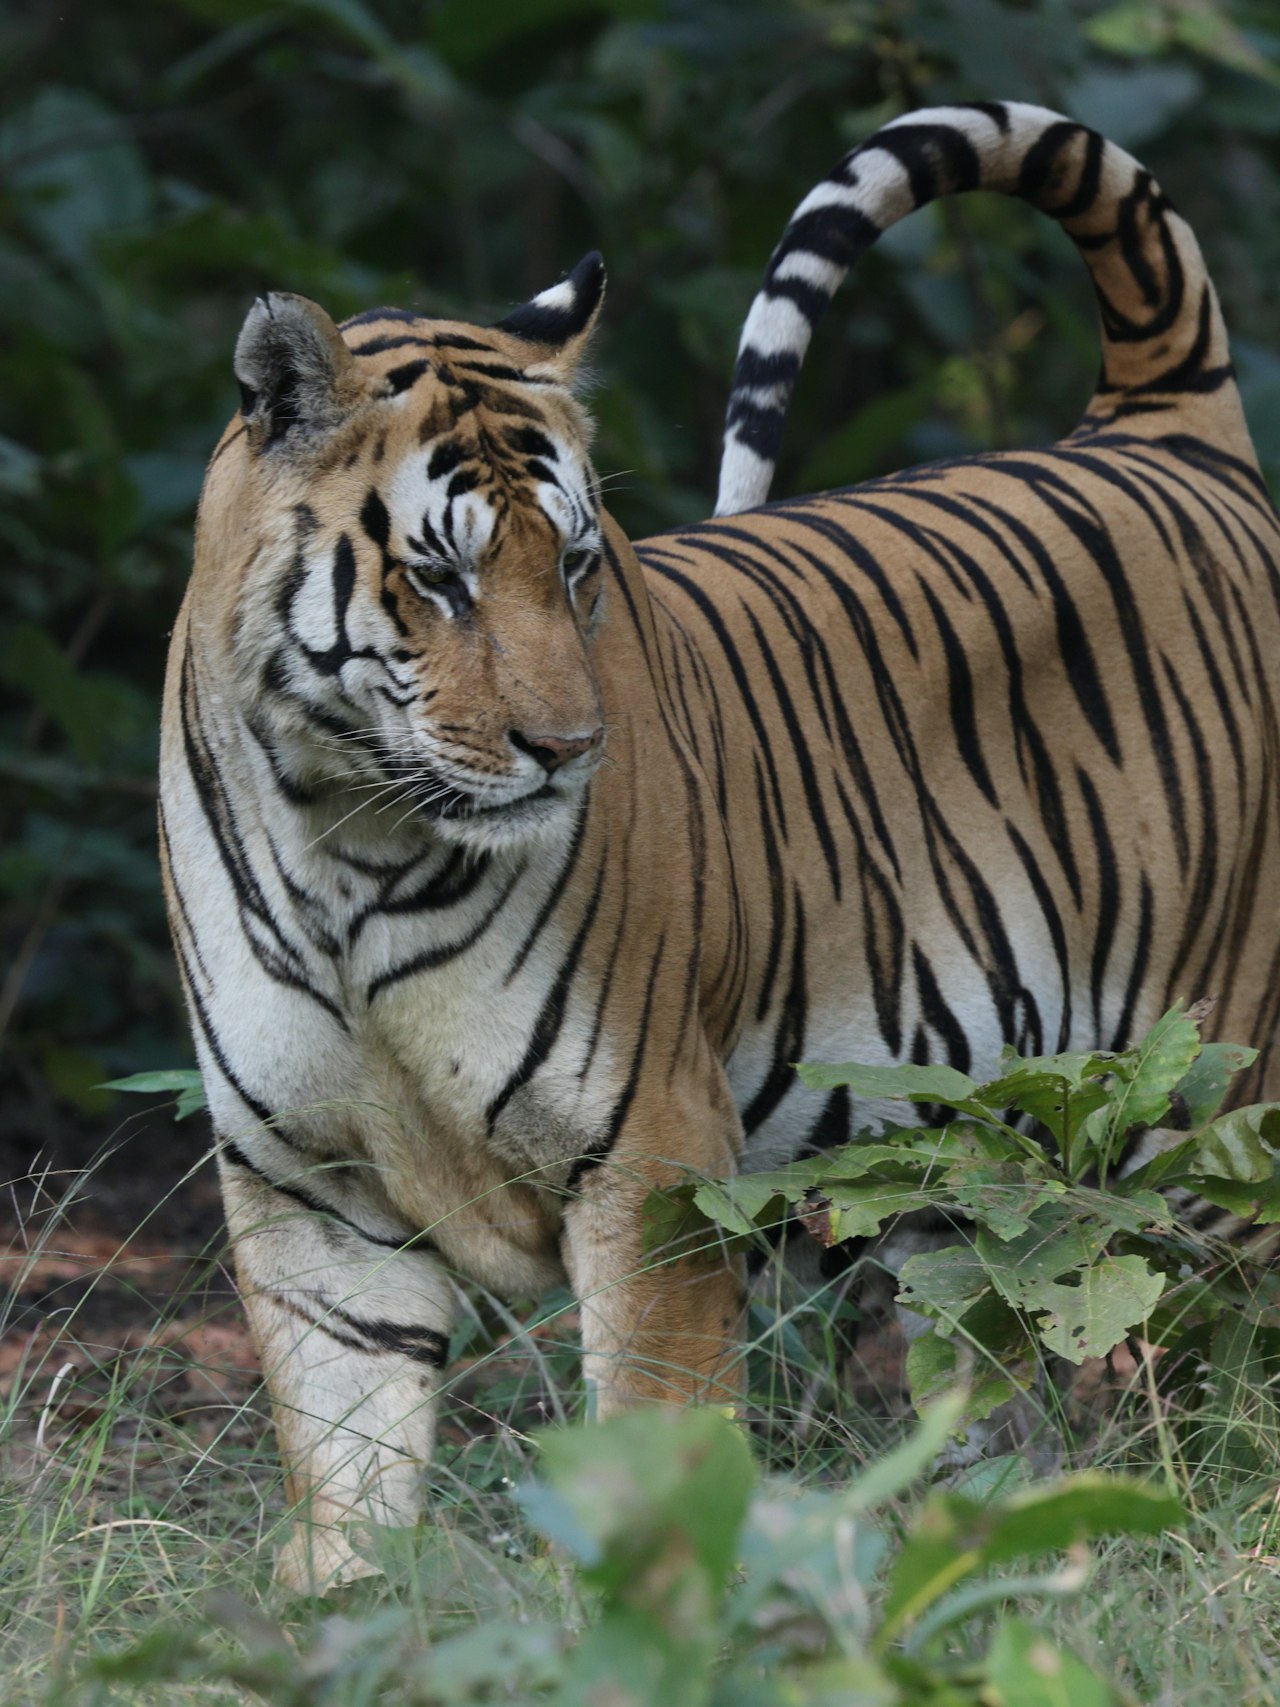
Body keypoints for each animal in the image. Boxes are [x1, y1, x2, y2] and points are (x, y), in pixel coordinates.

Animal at [160, 100, 1280, 1589]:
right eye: (441, 577)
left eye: (576, 564)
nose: (569, 748)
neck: (349, 833)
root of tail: (1162, 428)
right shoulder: (311, 1192)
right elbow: (348, 1476)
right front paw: (342, 1610)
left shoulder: (648, 1148)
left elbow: (657, 1431)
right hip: (968, 1170)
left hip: (1217, 1096)